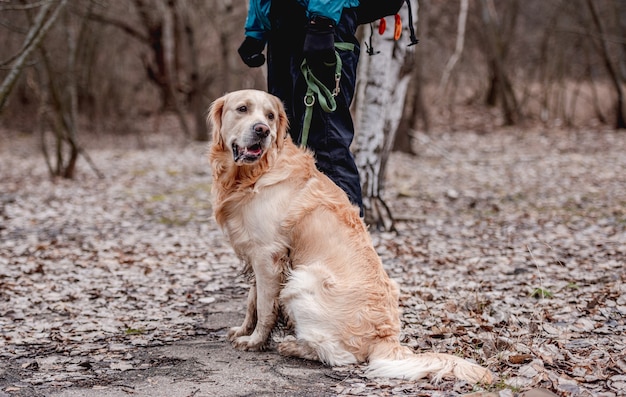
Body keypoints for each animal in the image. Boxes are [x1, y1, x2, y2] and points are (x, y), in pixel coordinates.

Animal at [210, 89, 492, 384]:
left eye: (270, 116)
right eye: (242, 109)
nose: (262, 130)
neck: (254, 174)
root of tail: (386, 337)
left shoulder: (268, 255)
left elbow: (264, 307)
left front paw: (254, 342)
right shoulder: (257, 253)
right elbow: (252, 302)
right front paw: (243, 330)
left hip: (303, 279)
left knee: (340, 356)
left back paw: (294, 346)